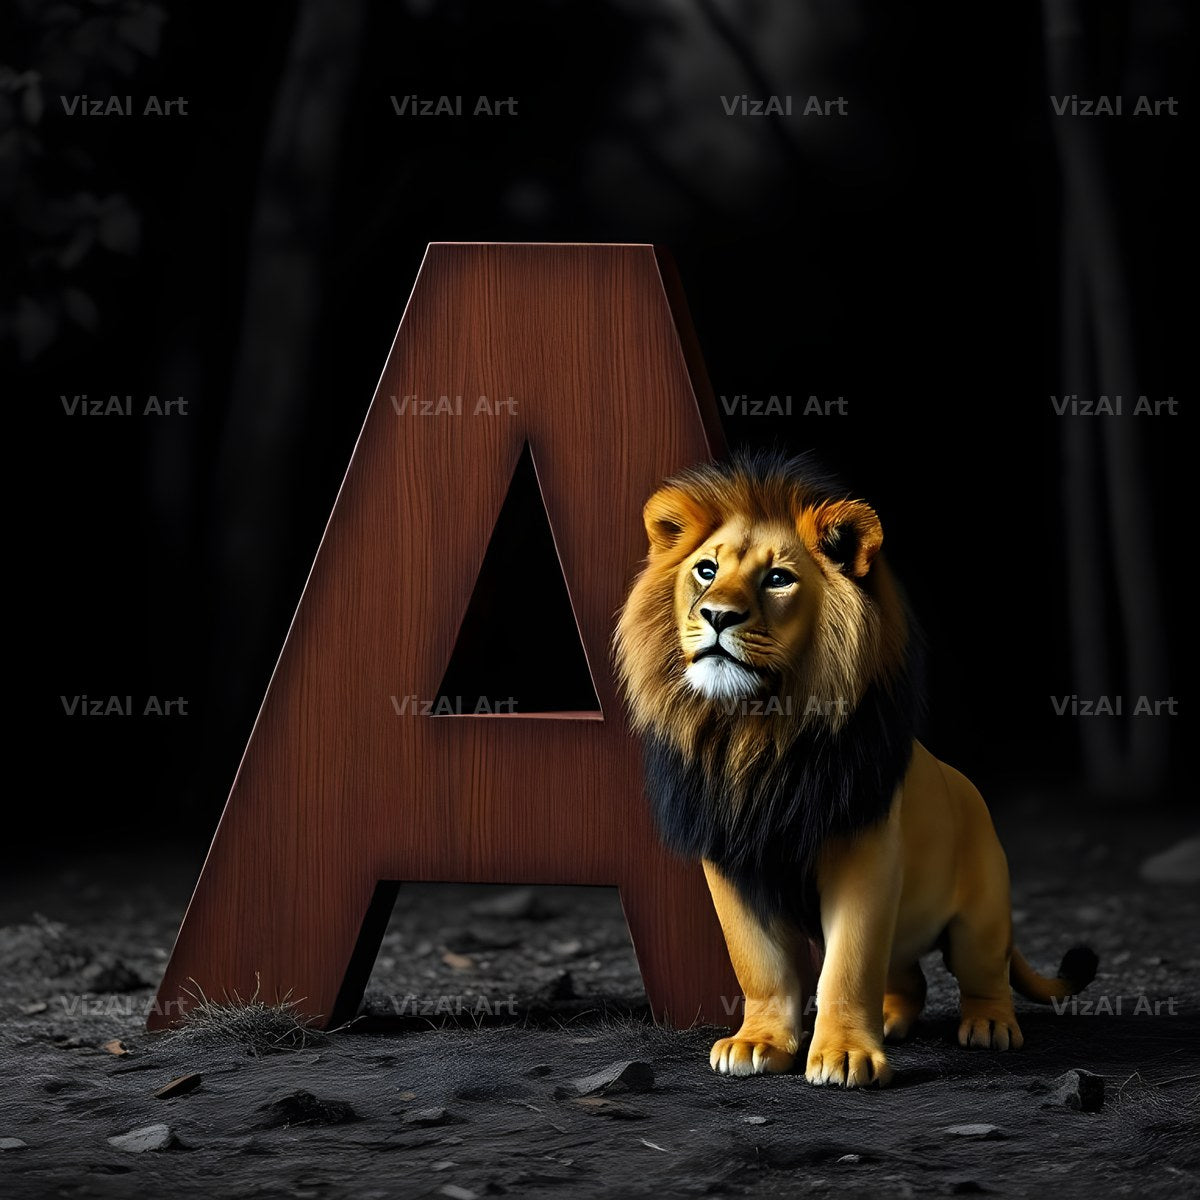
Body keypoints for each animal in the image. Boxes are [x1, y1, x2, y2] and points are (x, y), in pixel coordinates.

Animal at [614, 451, 1097, 1087]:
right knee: (908, 977)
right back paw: (892, 1019)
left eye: (778, 578)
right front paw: (758, 1042)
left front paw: (844, 1055)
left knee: (982, 975)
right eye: (706, 570)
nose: (717, 615)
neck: (755, 733)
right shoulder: (730, 859)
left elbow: (847, 964)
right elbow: (759, 965)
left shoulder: (864, 850)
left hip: (983, 916)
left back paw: (989, 1026)